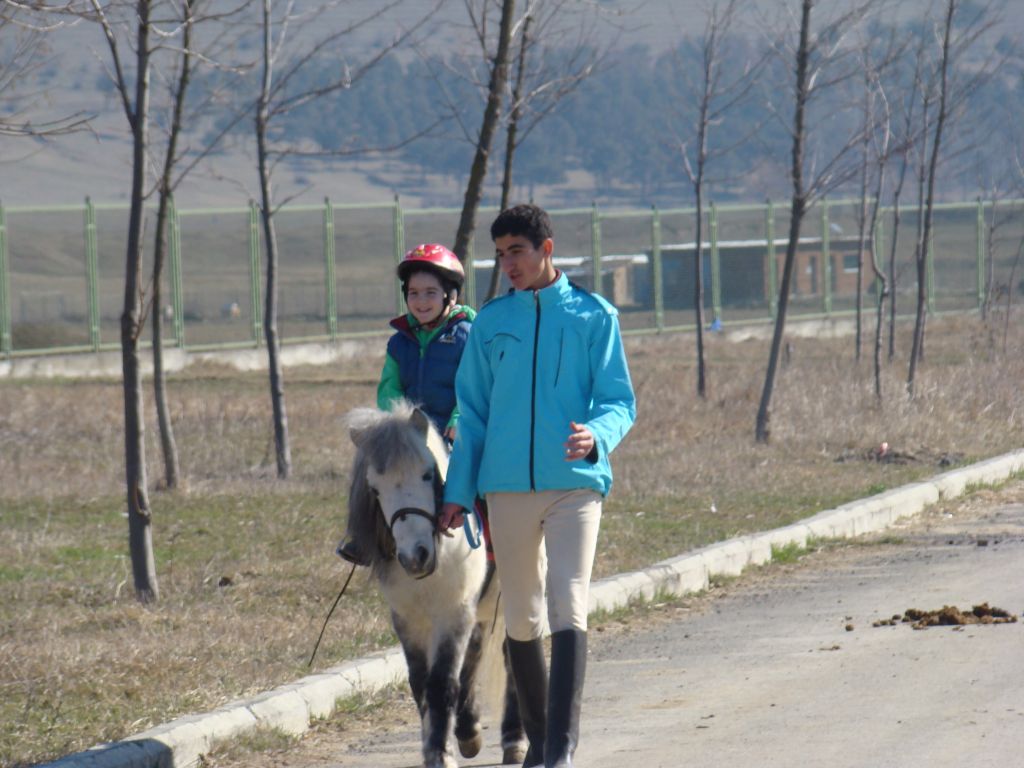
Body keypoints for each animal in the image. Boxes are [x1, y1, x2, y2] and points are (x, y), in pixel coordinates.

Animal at [346, 403, 528, 768]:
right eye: (376, 489)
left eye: (427, 475)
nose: (415, 556)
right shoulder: (408, 620)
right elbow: (420, 683)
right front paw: (441, 745)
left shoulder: (452, 612)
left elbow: (442, 682)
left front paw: (441, 754)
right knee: (475, 652)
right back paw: (469, 730)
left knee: (510, 653)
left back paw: (514, 739)